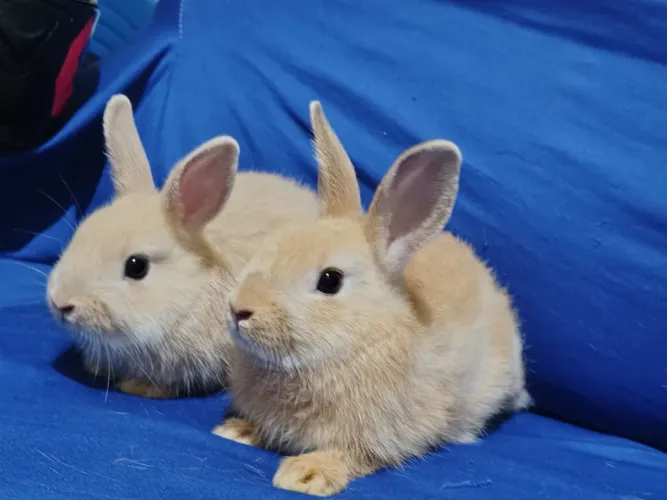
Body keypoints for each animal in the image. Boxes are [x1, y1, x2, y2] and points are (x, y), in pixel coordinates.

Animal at [212, 101, 530, 497]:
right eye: (273, 244)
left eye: (330, 280)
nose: (238, 309)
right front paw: (237, 430)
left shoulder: (379, 435)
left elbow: (352, 454)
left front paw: (306, 475)